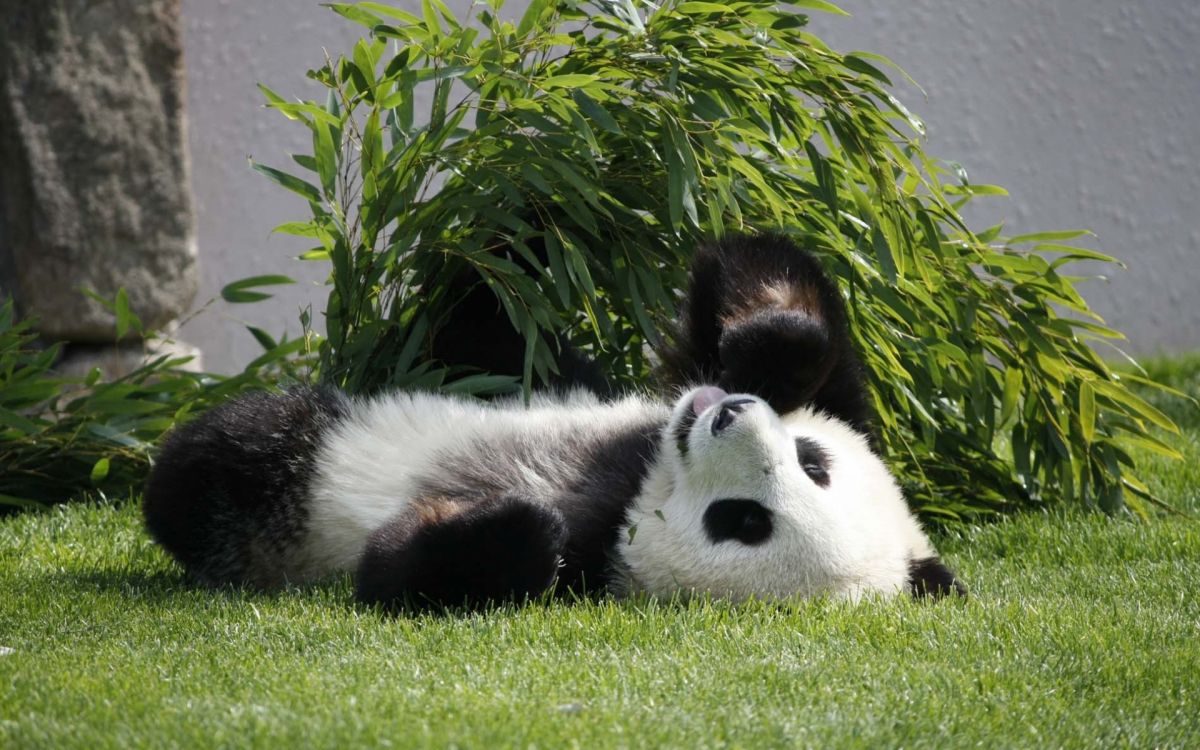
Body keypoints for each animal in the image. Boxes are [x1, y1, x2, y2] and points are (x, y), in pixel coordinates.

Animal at [142, 234, 964, 609]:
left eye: (744, 523)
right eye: (812, 458)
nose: (727, 414)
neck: (642, 481)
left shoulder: (599, 565)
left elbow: (404, 573)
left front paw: (514, 522)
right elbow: (780, 284)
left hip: (288, 493)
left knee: (234, 459)